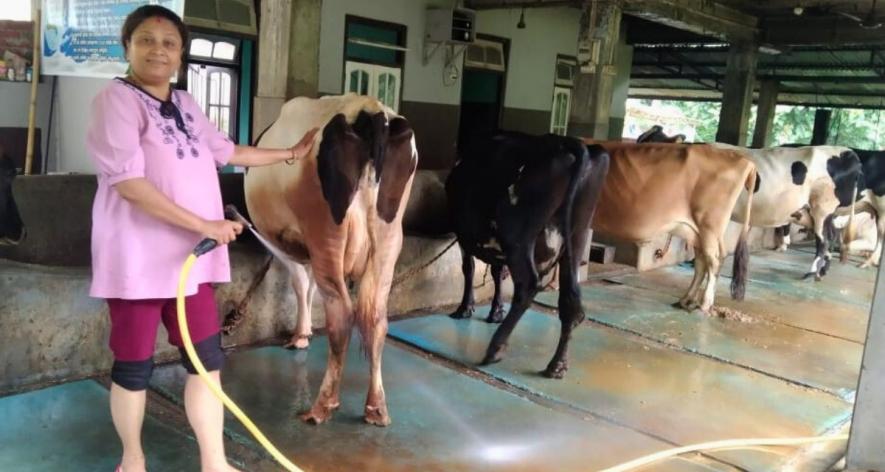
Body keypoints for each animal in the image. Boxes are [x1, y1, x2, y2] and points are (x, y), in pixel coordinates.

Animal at [243, 94, 420, 426]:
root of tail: (371, 110)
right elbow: (310, 287)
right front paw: (304, 331)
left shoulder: (288, 244)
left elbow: (301, 284)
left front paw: (300, 335)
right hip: (389, 239)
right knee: (376, 318)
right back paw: (376, 408)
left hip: (326, 234)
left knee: (341, 315)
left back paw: (322, 406)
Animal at [446, 131, 612, 378]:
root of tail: (569, 142)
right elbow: (497, 272)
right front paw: (495, 311)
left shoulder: (462, 234)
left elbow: (469, 269)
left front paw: (465, 308)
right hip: (577, 235)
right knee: (571, 301)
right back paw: (557, 365)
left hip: (518, 234)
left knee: (528, 285)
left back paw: (495, 349)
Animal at [588, 142, 752, 316]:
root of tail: (743, 160)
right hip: (698, 232)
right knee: (701, 262)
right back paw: (686, 300)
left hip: (709, 227)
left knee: (714, 260)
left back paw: (705, 304)